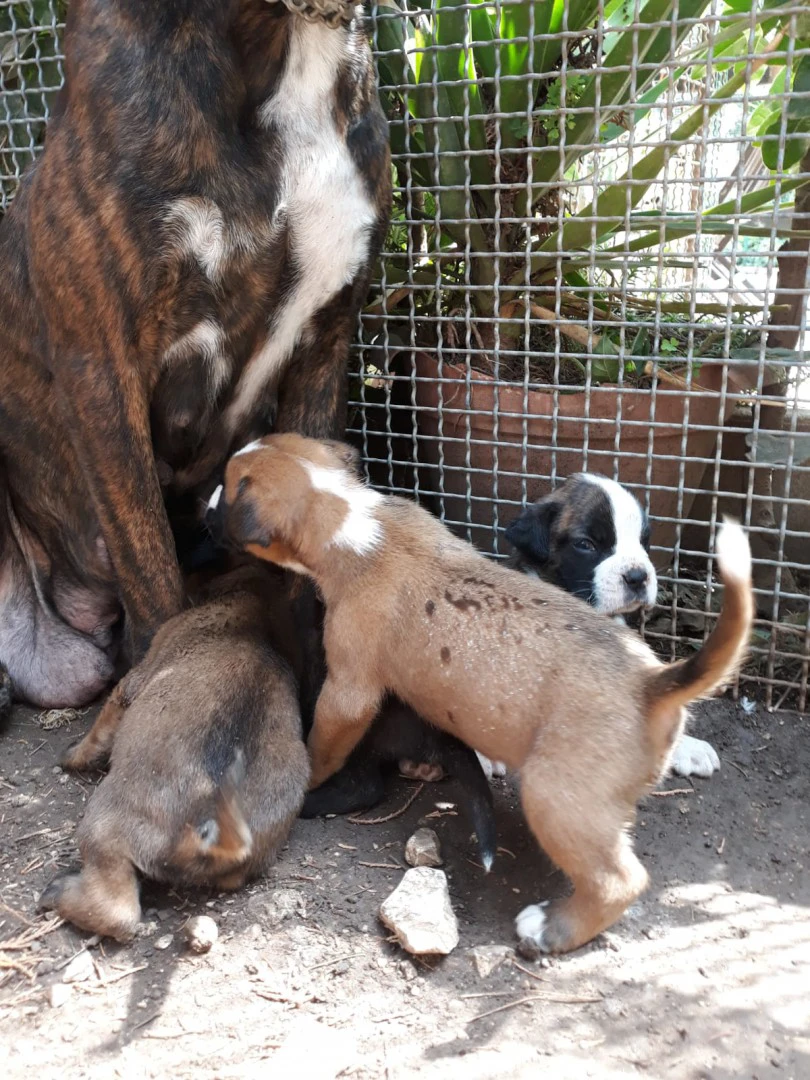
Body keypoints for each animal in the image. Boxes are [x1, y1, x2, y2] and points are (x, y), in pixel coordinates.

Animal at [37, 561, 311, 941]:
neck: (254, 615)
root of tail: (204, 835)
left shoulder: (130, 684)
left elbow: (99, 729)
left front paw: (71, 756)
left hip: (103, 827)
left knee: (115, 909)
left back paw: (56, 893)